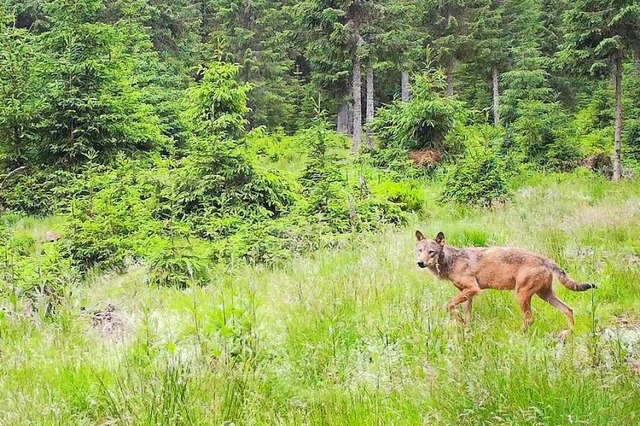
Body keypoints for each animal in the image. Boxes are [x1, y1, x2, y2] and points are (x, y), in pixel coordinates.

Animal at [412, 231, 596, 328]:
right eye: (420, 250)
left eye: (431, 252)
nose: (420, 263)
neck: (451, 260)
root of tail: (544, 259)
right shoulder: (467, 293)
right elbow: (466, 315)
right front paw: (465, 328)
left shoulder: (473, 289)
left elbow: (448, 304)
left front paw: (458, 319)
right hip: (545, 295)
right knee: (568, 310)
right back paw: (568, 334)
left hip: (522, 295)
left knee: (529, 319)